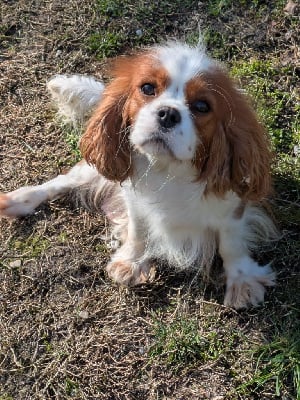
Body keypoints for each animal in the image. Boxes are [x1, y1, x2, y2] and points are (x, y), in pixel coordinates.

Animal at [0, 42, 278, 310]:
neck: (168, 169)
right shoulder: (134, 200)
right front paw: (132, 261)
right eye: (147, 88)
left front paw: (241, 282)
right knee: (62, 181)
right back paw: (18, 200)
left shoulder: (232, 208)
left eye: (202, 106)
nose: (168, 113)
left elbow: (231, 244)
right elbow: (138, 230)